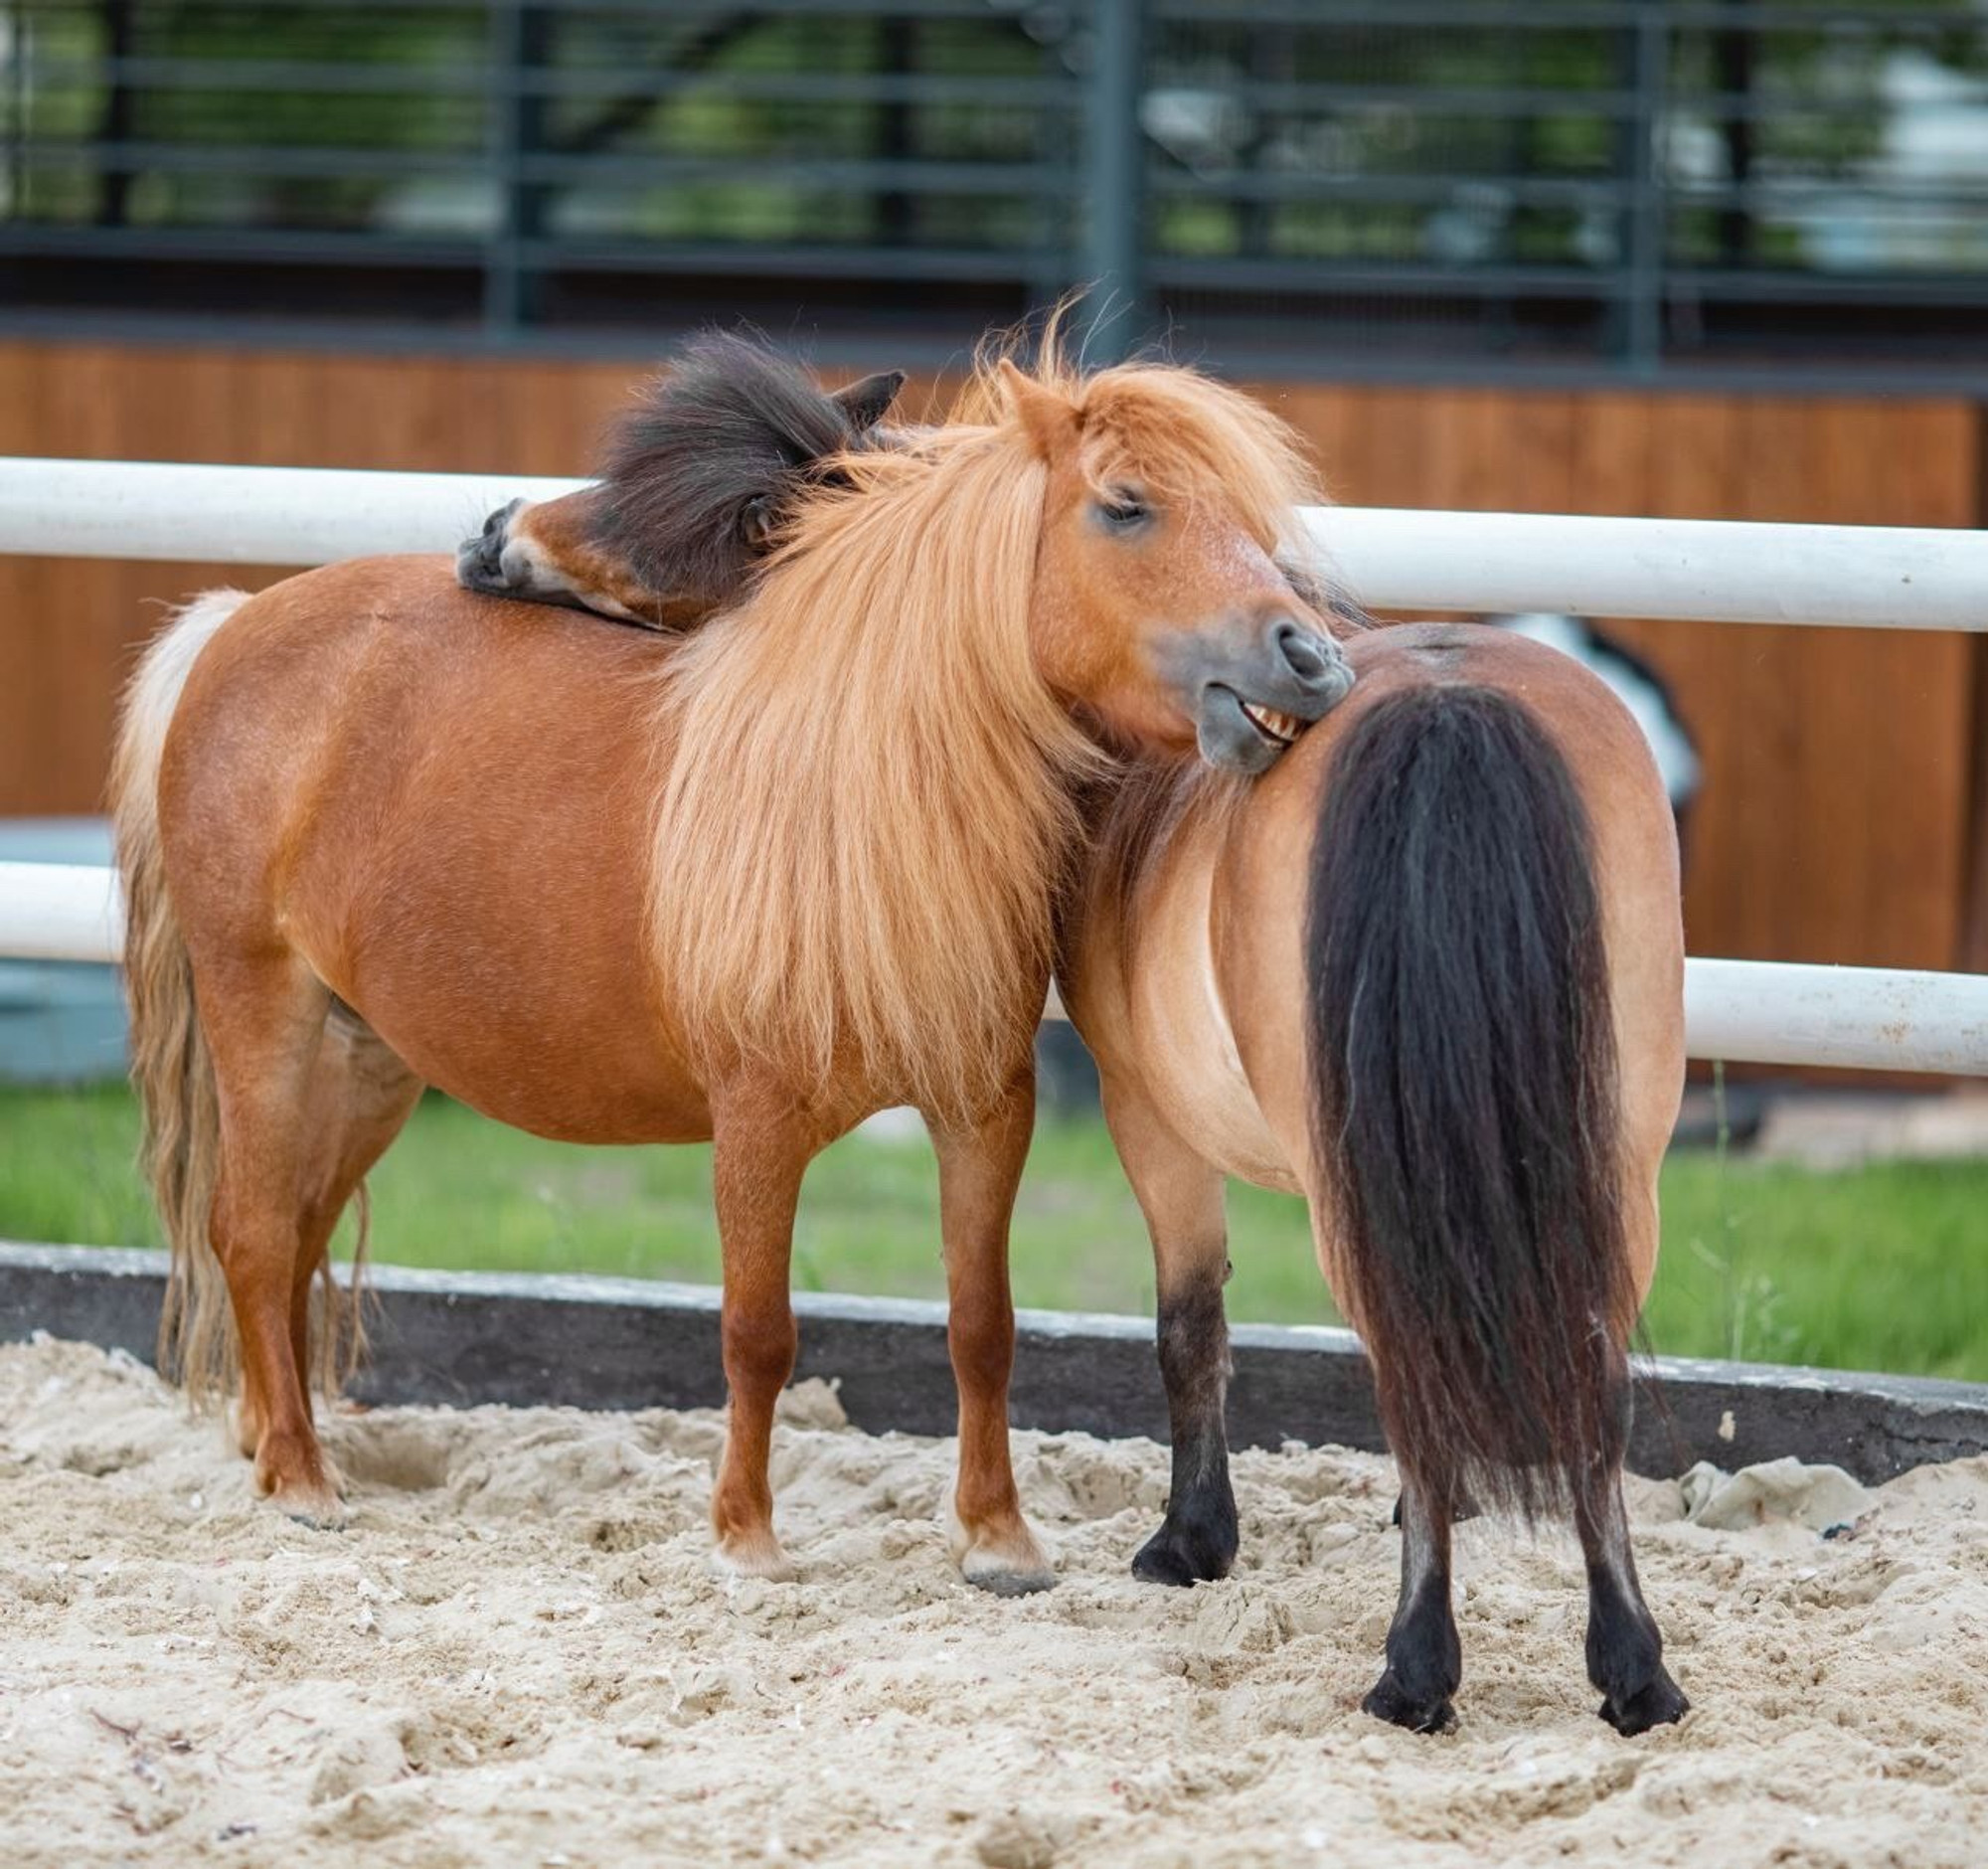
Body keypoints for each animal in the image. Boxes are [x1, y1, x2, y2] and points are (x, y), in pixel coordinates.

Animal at [112, 346, 1352, 1591]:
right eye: (1125, 506)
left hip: (364, 1062)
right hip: (264, 1018)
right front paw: (746, 1538)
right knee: (251, 1233)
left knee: (292, 1237)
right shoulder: (754, 1124)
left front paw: (998, 1538)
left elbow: (981, 1323)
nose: (1312, 658)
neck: (860, 800)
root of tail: (234, 623)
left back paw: (279, 1450)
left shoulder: (983, 1109)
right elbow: (758, 1332)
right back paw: (301, 1482)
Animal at [1066, 620, 1686, 1734]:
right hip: (1620, 1162)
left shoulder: (1143, 1113)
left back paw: (1414, 1672)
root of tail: (1447, 700)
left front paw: (1190, 1539)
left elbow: (1187, 1330)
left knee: (1410, 1389)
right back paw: (1634, 1672)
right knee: (1592, 1388)